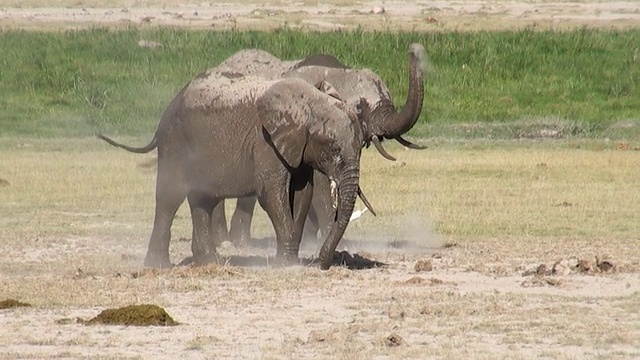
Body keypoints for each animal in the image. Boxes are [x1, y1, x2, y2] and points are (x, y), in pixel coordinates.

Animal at [98, 70, 378, 268]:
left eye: (361, 147)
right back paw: (159, 266)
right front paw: (285, 265)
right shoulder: (266, 143)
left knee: (203, 200)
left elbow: (302, 195)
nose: (322, 263)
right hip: (174, 143)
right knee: (170, 197)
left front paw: (289, 261)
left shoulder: (299, 149)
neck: (310, 101)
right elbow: (272, 195)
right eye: (333, 147)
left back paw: (210, 262)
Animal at [218, 43, 428, 248]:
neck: (339, 74)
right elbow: (320, 184)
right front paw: (337, 243)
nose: (414, 49)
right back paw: (228, 242)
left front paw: (310, 241)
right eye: (360, 107)